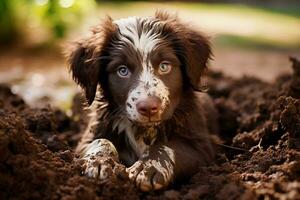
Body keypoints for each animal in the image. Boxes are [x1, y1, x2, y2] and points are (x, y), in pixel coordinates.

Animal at [67, 11, 218, 192]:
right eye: (122, 71)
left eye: (164, 66)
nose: (148, 108)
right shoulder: (87, 137)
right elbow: (100, 140)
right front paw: (98, 162)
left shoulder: (202, 148)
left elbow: (169, 146)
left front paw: (148, 167)